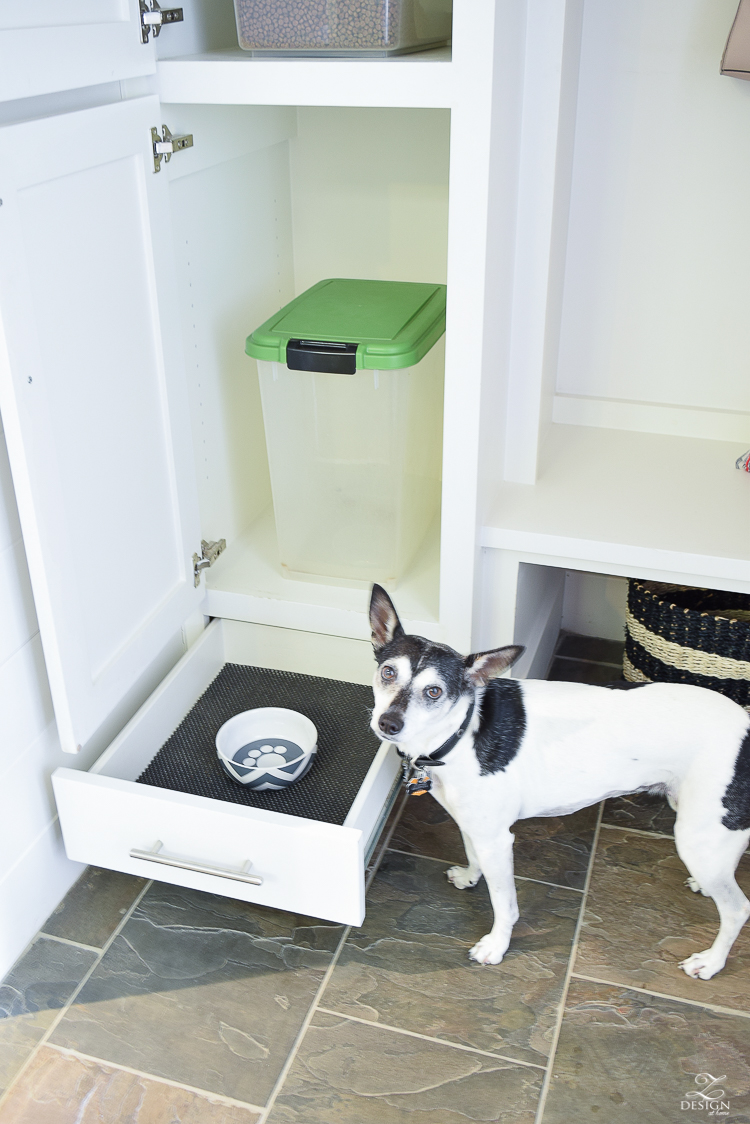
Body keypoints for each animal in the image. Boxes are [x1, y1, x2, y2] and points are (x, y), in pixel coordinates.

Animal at [368, 584, 750, 980]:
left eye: (434, 692)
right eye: (387, 672)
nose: (388, 723)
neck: (463, 728)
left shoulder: (498, 841)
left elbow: (504, 902)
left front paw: (496, 945)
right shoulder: (476, 828)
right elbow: (474, 855)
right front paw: (471, 876)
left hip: (696, 837)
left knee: (738, 909)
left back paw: (712, 961)